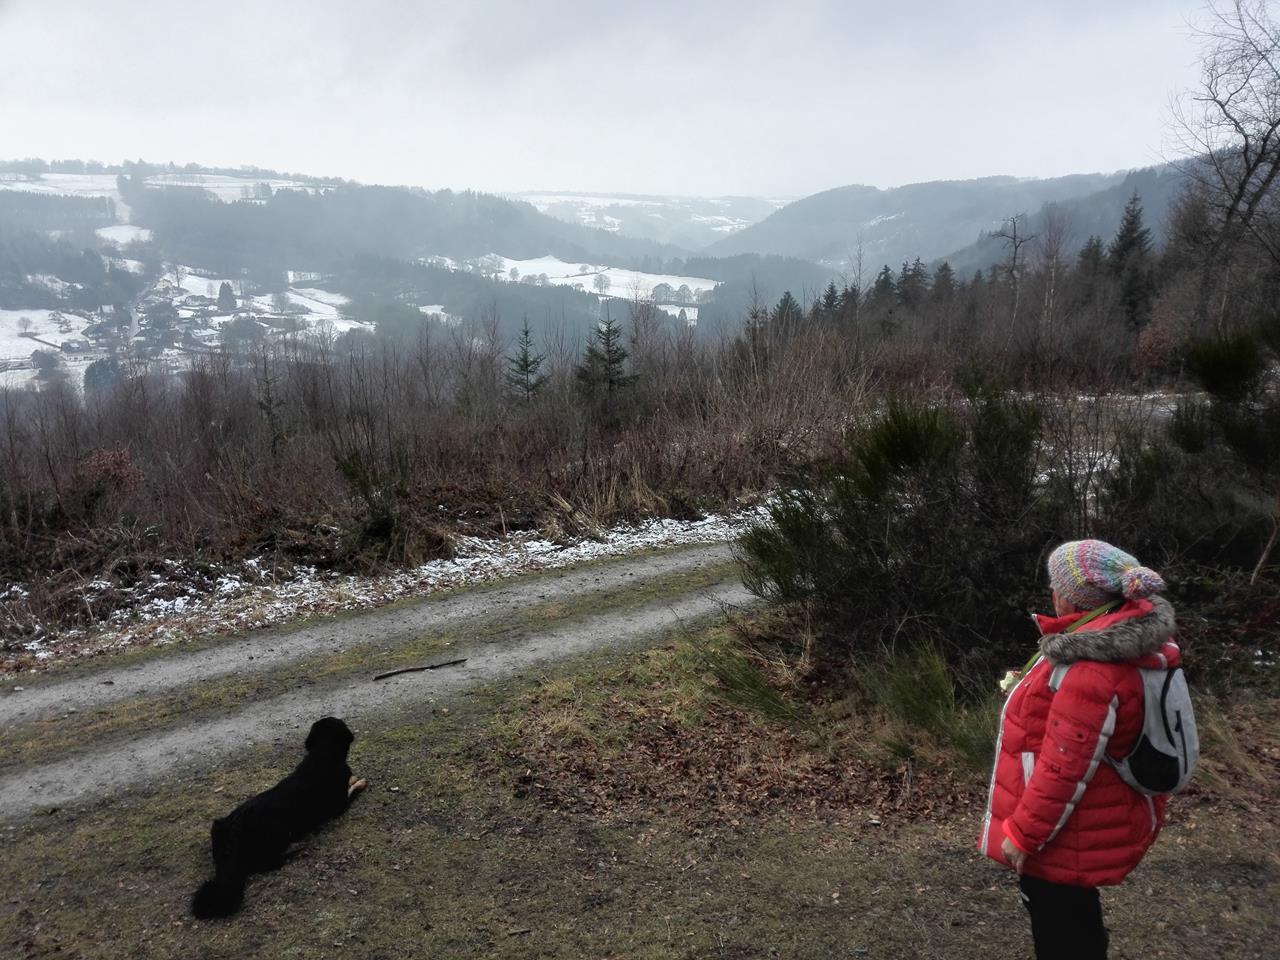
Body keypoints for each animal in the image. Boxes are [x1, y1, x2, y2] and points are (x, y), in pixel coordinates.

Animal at [191, 716, 368, 919]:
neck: (322, 753)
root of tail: (233, 832)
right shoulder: (340, 806)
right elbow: (352, 789)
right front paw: (360, 782)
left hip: (217, 825)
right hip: (279, 830)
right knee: (268, 863)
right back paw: (295, 850)